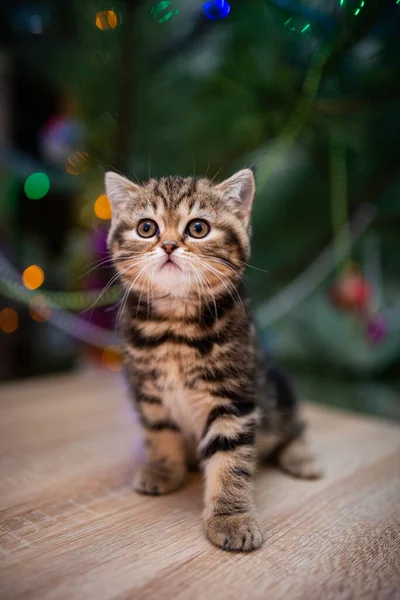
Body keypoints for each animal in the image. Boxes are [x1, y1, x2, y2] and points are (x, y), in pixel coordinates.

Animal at [104, 169, 320, 552]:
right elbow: (159, 432)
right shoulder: (148, 391)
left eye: (197, 228)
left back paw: (301, 457)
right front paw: (163, 469)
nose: (169, 245)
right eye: (146, 228)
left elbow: (230, 459)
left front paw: (231, 519)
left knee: (294, 425)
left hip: (276, 387)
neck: (174, 326)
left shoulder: (232, 397)